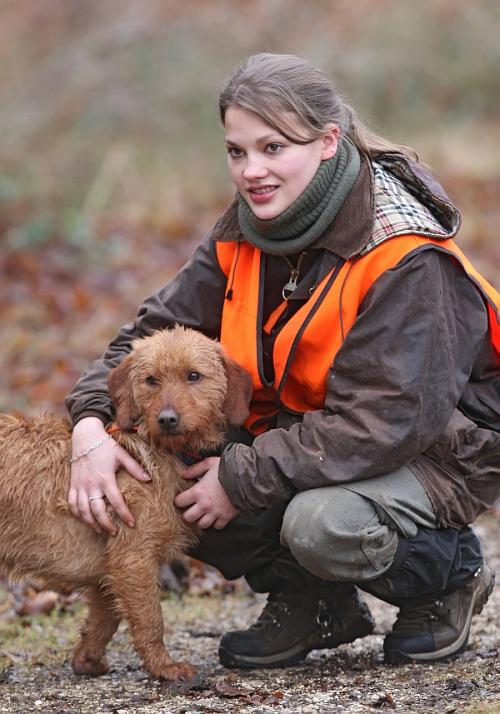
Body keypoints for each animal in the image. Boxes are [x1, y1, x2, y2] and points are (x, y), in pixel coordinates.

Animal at [0, 326, 252, 680]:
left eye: (193, 376)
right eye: (151, 379)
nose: (168, 419)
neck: (158, 450)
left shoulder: (108, 570)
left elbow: (104, 620)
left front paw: (87, 660)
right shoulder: (132, 558)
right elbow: (150, 620)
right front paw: (165, 667)